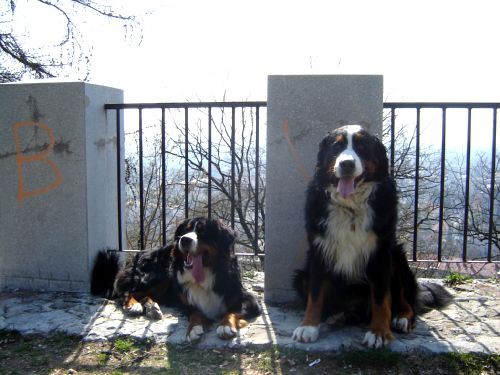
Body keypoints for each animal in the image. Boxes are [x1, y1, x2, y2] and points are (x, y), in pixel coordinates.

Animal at [91, 217, 262, 344]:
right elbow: (196, 313)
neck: (206, 272)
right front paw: (193, 329)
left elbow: (232, 311)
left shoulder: (249, 300)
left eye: (203, 232)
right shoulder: (187, 302)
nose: (184, 240)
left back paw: (152, 307)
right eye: (185, 230)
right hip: (158, 275)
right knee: (126, 291)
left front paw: (225, 326)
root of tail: (139, 254)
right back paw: (134, 305)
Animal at [292, 126, 454, 350]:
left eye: (361, 147)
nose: (347, 163)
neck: (351, 207)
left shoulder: (381, 253)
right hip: (300, 276)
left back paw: (402, 318)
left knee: (405, 299)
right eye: (337, 146)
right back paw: (338, 316)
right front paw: (308, 326)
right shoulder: (318, 251)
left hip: (398, 257)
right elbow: (315, 295)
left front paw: (379, 332)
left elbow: (380, 298)